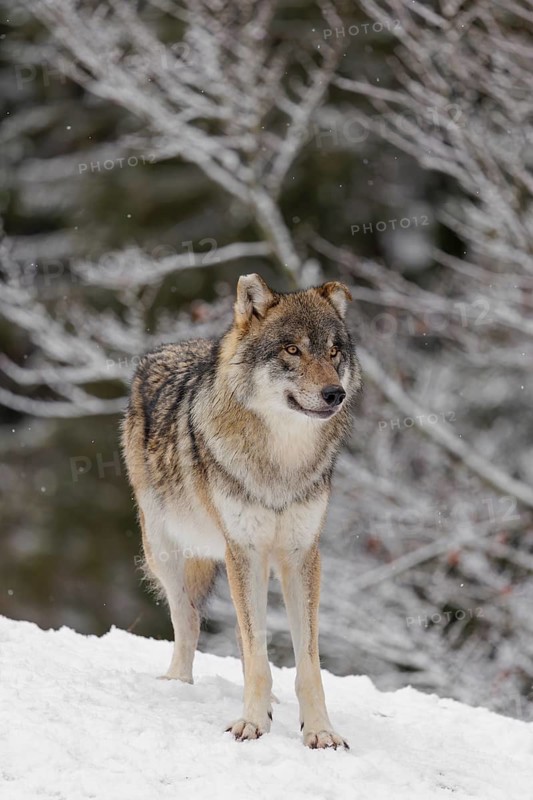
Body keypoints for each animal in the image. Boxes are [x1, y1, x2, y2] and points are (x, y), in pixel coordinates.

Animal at [122, 273, 361, 749]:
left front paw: (320, 731)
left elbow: (307, 663)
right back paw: (178, 684)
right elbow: (253, 653)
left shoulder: (301, 555)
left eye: (333, 352)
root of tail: (170, 347)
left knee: (243, 633)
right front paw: (251, 723)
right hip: (166, 552)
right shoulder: (244, 549)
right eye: (292, 349)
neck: (281, 461)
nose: (335, 394)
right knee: (189, 621)